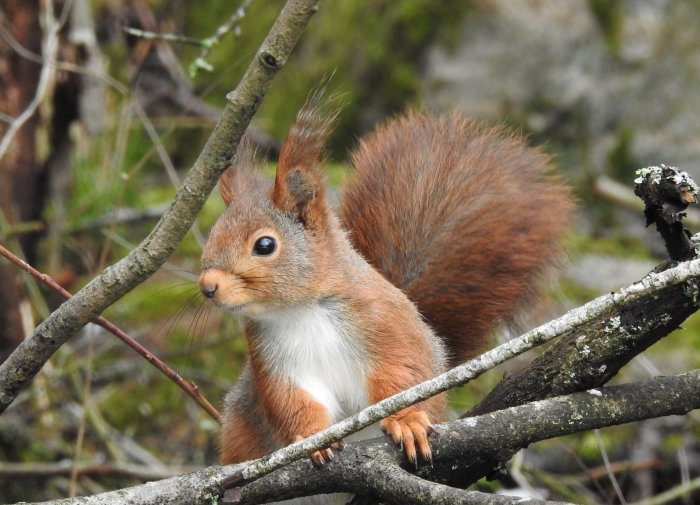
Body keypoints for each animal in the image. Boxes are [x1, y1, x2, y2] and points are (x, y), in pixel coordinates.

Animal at [198, 96, 576, 466]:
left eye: (265, 245)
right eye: (213, 234)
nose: (207, 287)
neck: (303, 309)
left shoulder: (387, 323)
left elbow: (401, 378)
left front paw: (405, 422)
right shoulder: (274, 362)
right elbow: (294, 402)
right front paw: (311, 438)